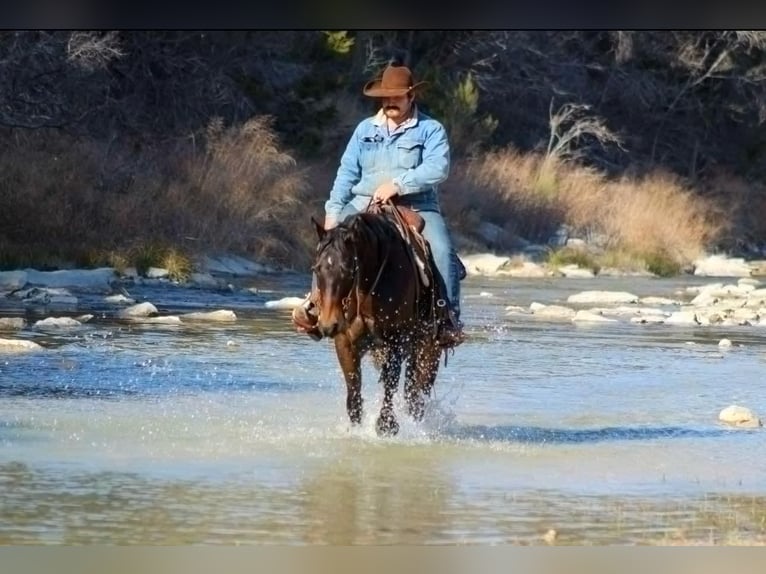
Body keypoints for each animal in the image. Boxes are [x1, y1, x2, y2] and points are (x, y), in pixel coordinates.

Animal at [309, 205, 447, 436]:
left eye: (347, 269)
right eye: (316, 268)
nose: (328, 324)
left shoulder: (396, 341)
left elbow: (390, 383)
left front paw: (386, 425)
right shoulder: (344, 341)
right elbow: (354, 394)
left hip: (428, 350)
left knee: (416, 396)